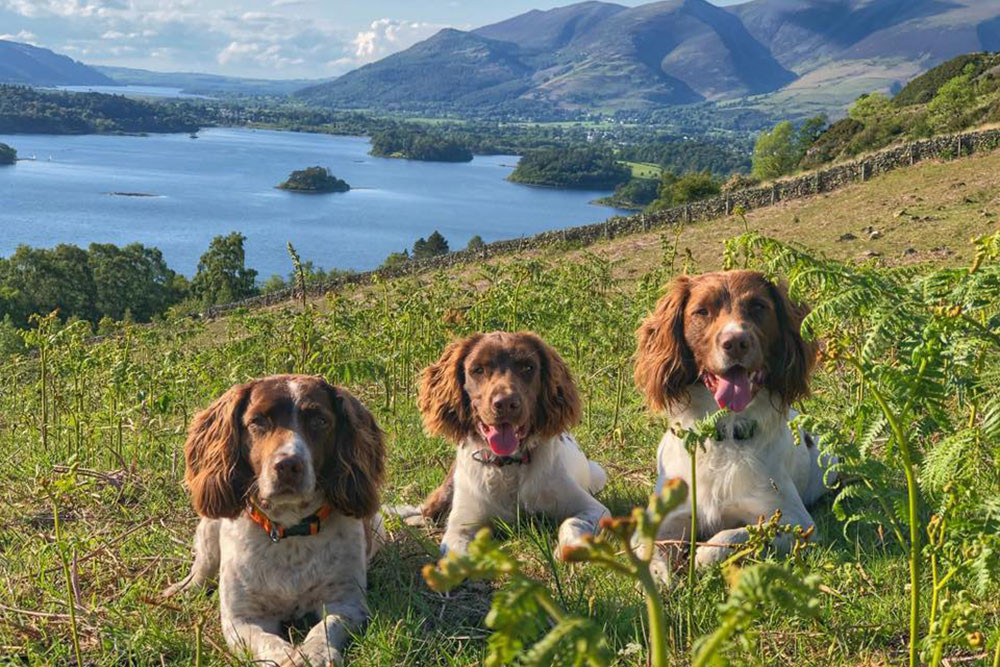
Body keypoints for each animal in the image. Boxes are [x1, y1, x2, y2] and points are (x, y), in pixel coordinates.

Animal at [162, 376, 384, 667]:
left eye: (320, 421)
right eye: (257, 421)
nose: (288, 465)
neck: (289, 530)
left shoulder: (346, 602)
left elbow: (325, 627)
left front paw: (314, 654)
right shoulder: (242, 618)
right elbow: (268, 642)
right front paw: (290, 657)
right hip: (210, 526)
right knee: (203, 565)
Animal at [410, 332, 604, 560]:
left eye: (528, 367)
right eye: (478, 369)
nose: (505, 403)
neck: (508, 463)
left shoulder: (592, 508)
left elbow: (573, 521)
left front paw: (569, 548)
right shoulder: (460, 528)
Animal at [632, 272, 836, 576]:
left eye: (758, 307)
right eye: (702, 311)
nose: (736, 342)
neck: (725, 433)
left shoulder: (798, 522)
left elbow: (733, 537)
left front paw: (701, 556)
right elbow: (650, 549)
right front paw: (659, 577)